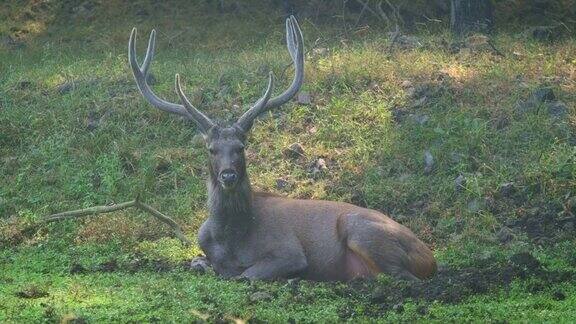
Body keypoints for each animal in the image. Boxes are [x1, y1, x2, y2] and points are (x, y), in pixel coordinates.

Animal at [128, 16, 436, 280]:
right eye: (211, 149)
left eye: (241, 147)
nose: (228, 175)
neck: (231, 239)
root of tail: (431, 257)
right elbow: (200, 263)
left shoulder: (289, 252)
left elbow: (245, 275)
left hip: (362, 230)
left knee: (402, 276)